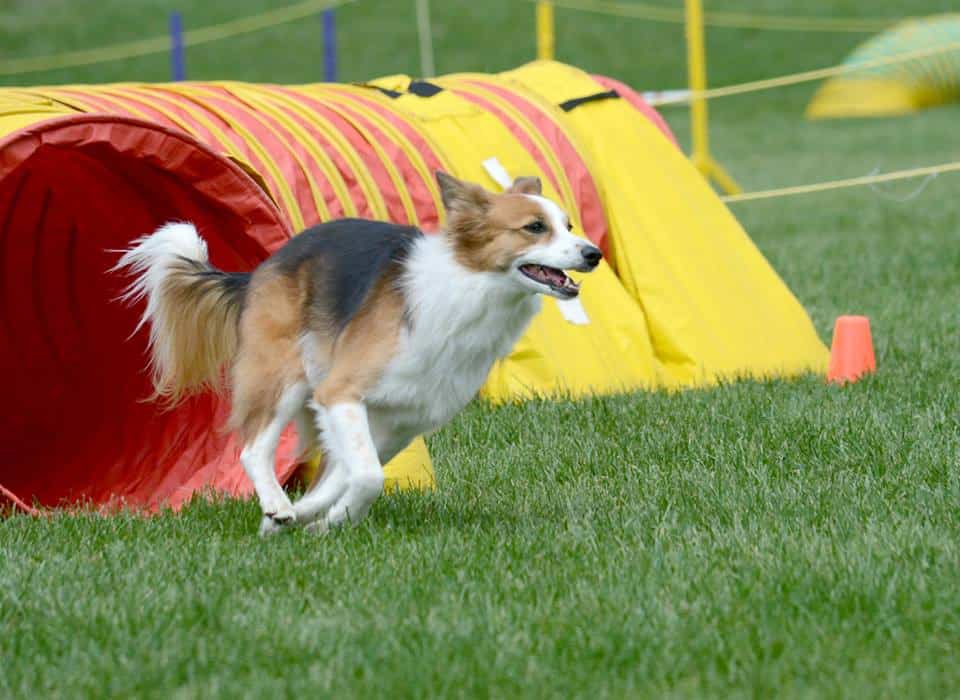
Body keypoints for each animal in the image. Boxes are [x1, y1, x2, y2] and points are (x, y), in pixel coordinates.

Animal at [116, 172, 600, 532]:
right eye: (534, 227)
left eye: (569, 226)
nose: (594, 253)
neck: (466, 289)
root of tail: (258, 271)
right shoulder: (340, 393)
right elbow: (367, 476)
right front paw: (316, 517)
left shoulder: (400, 421)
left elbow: (348, 477)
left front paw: (320, 519)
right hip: (285, 376)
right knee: (253, 449)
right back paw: (275, 502)